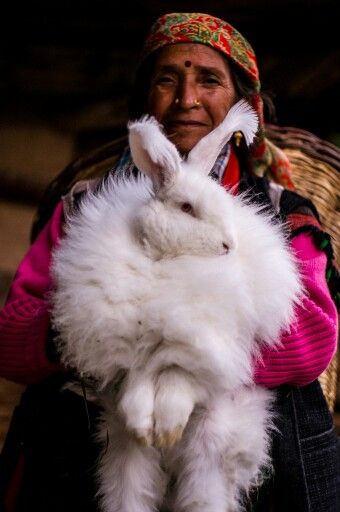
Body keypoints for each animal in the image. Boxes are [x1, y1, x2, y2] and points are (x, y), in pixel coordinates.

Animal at [51, 101, 302, 512]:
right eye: (186, 207)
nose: (228, 246)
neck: (165, 260)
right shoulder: (128, 349)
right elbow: (136, 382)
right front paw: (145, 427)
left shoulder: (204, 343)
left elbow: (179, 378)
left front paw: (166, 427)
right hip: (123, 459)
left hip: (211, 452)